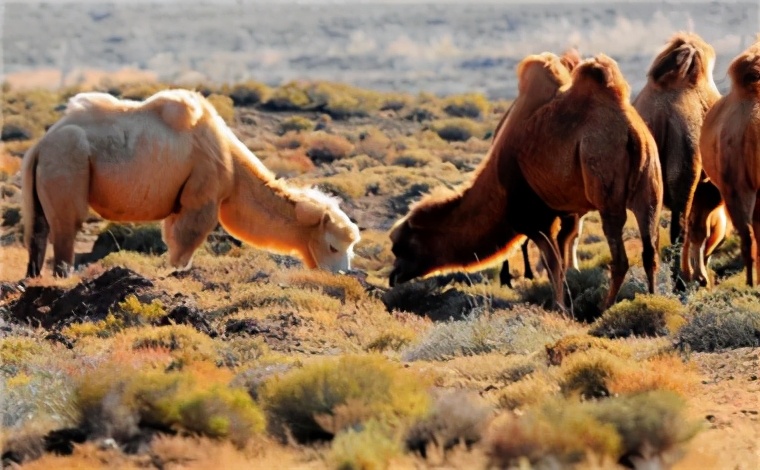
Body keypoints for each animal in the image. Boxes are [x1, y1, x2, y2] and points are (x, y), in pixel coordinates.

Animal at [20, 87, 360, 278]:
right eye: (332, 246)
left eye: (352, 249)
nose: (342, 274)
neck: (232, 165)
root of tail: (40, 145)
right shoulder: (203, 188)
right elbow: (186, 239)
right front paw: (176, 272)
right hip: (69, 161)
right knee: (66, 227)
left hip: (43, 179)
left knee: (38, 230)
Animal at [392, 51, 600, 310]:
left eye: (406, 245)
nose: (394, 275)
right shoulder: (559, 217)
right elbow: (561, 252)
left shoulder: (538, 222)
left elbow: (555, 262)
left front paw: (560, 306)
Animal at [512, 54, 664, 308]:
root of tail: (633, 135)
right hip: (650, 188)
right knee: (650, 249)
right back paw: (651, 300)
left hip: (606, 189)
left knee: (619, 256)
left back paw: (605, 306)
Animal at [632, 31, 720, 286]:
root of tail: (659, 115)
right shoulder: (706, 189)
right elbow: (698, 231)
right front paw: (700, 278)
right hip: (685, 174)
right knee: (678, 231)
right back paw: (680, 282)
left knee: (651, 240)